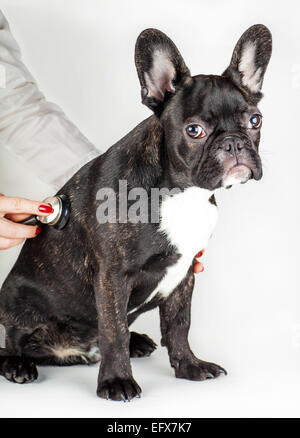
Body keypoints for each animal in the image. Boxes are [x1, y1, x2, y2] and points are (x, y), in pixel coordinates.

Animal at [0, 24, 272, 400]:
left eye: (254, 121)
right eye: (194, 130)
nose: (233, 143)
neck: (180, 192)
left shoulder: (184, 275)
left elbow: (178, 325)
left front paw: (190, 366)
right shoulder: (113, 277)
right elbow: (113, 331)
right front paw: (117, 381)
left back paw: (137, 342)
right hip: (16, 299)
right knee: (15, 339)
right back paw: (17, 364)